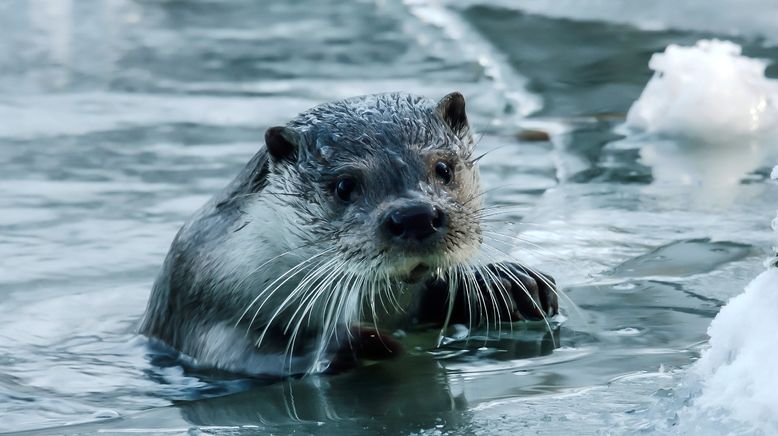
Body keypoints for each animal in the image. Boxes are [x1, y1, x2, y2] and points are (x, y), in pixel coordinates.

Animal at [141, 91, 556, 374]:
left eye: (443, 168)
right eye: (344, 186)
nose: (416, 215)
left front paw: (507, 284)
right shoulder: (196, 292)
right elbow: (243, 353)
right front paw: (357, 343)